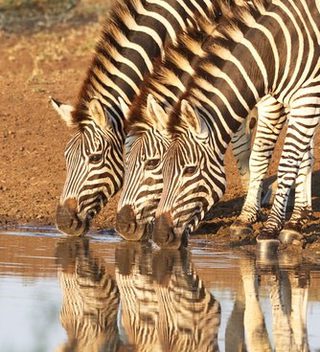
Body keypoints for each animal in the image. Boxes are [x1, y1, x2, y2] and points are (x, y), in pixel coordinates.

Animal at [150, 0, 320, 249]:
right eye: (161, 168)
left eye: (190, 170)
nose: (160, 236)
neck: (277, 51)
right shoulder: (281, 101)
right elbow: (261, 158)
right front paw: (268, 221)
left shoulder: (306, 96)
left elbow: (287, 162)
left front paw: (271, 228)